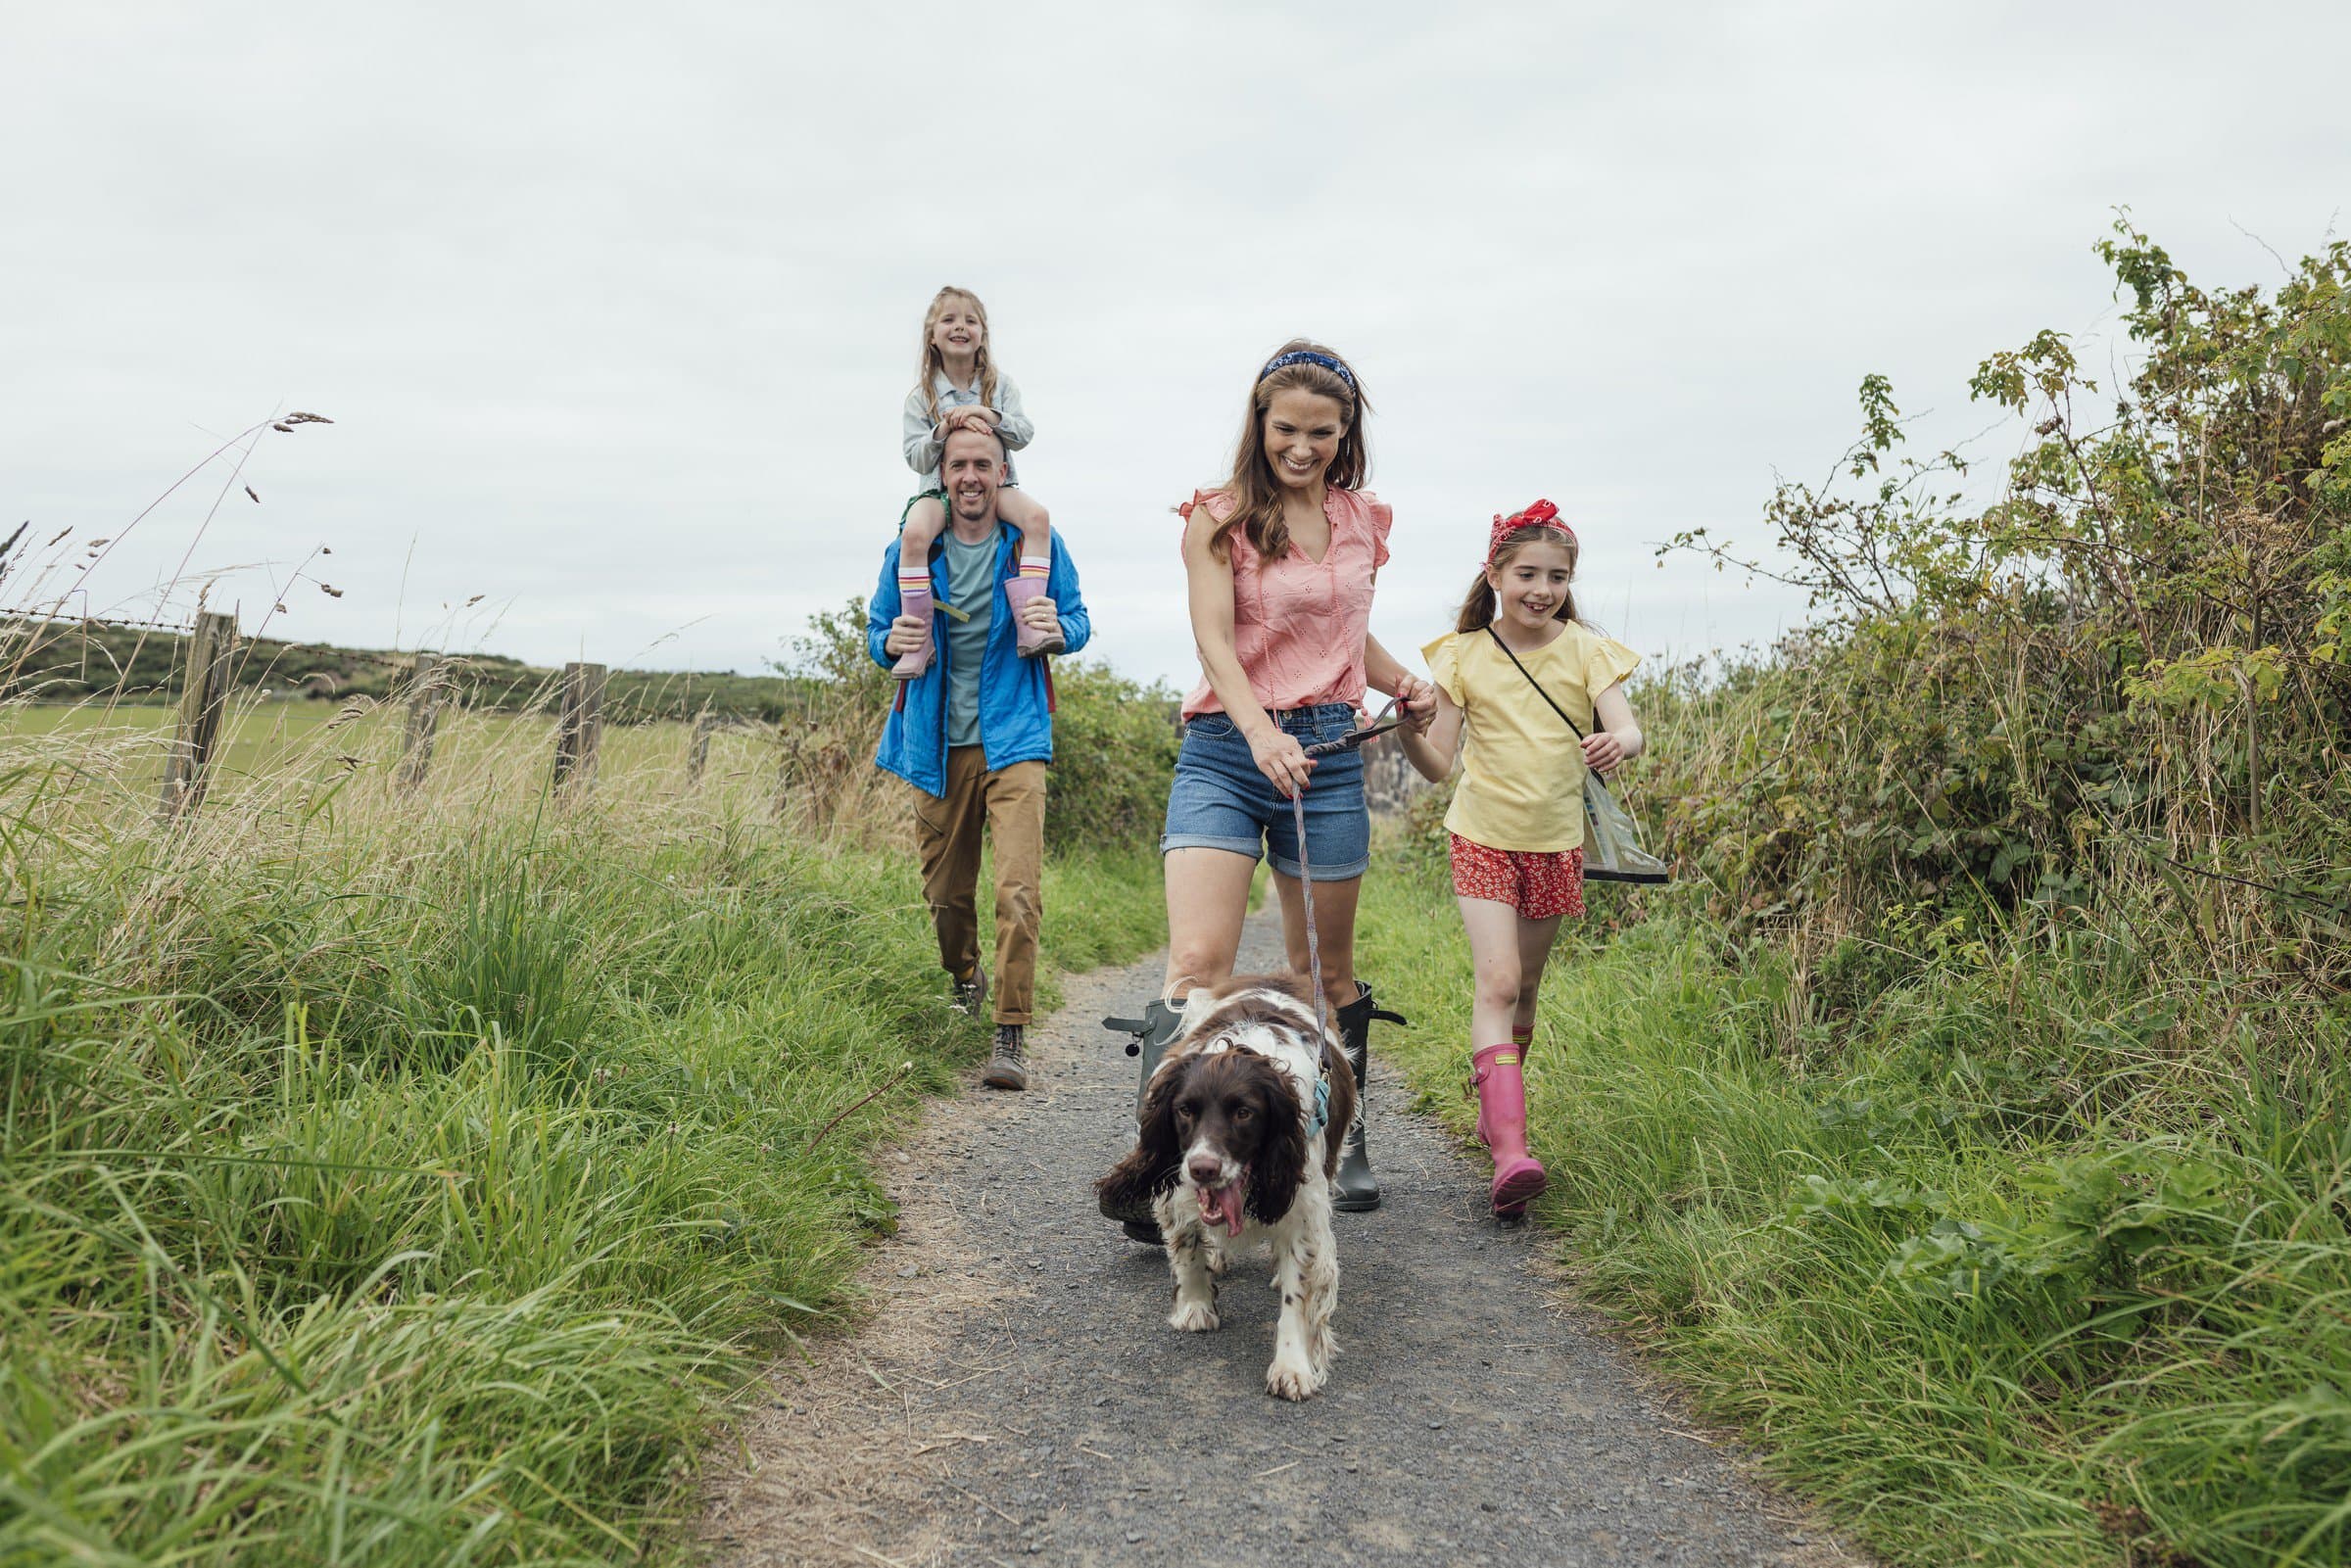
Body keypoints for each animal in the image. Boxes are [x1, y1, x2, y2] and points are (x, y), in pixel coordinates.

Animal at [1085, 973, 1354, 1401]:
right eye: (1184, 1110)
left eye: (1245, 1113)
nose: (1204, 1169)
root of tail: (1272, 977)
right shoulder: (1177, 1189)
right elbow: (1187, 1249)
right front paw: (1196, 1306)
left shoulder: (1302, 1207)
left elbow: (1298, 1292)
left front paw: (1292, 1366)